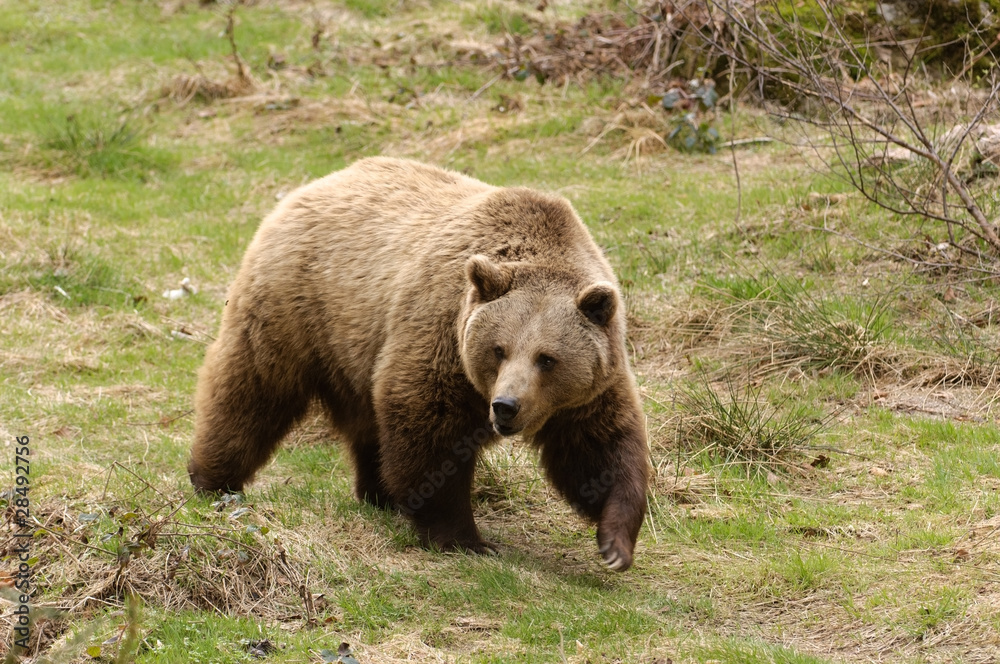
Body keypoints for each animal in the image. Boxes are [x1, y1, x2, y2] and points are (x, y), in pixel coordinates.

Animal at [188, 157, 649, 571]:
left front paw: (615, 543)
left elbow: (599, 448)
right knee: (252, 387)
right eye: (499, 349)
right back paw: (212, 479)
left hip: (357, 347)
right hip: (296, 305)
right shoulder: (441, 332)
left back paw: (377, 493)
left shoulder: (588, 387)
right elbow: (428, 429)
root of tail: (310, 186)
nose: (505, 406)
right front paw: (464, 538)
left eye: (547, 358)